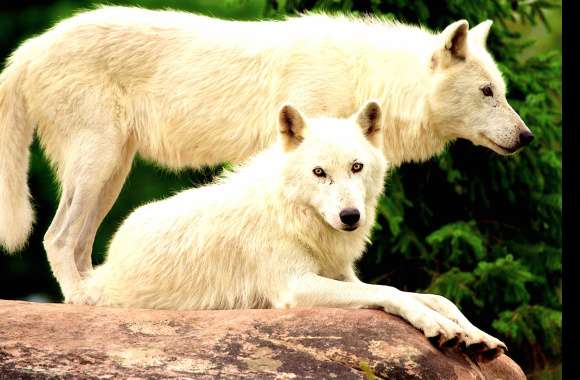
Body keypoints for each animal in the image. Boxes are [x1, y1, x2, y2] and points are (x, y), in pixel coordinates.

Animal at [0, 6, 532, 308]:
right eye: (487, 92)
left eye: (501, 91)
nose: (526, 136)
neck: (367, 75)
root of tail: (29, 47)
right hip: (100, 163)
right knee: (55, 237)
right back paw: (84, 301)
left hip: (113, 172)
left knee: (77, 243)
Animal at [81, 103, 508, 360]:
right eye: (319, 172)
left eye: (356, 167)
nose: (350, 216)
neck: (293, 215)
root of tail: (105, 264)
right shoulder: (296, 287)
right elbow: (390, 292)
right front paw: (437, 326)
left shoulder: (346, 277)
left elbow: (436, 297)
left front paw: (475, 334)